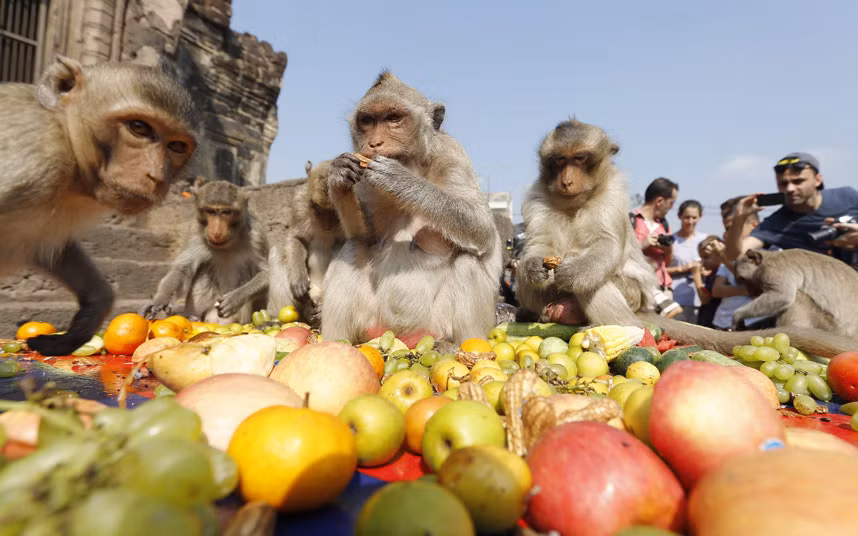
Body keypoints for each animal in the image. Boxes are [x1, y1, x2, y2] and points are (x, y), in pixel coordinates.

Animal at [0, 56, 199, 356]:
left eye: (176, 146)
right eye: (139, 127)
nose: (156, 176)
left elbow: (47, 247)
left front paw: (91, 310)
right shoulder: (35, 160)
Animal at [143, 179, 269, 324]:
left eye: (226, 212)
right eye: (211, 211)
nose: (216, 231)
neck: (229, 242)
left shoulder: (256, 235)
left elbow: (266, 274)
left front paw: (235, 299)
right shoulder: (194, 231)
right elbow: (182, 269)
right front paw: (160, 300)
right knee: (203, 271)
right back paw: (194, 318)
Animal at [267, 159, 345, 325]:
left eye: (334, 211)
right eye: (318, 208)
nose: (327, 225)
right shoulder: (299, 203)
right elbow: (296, 238)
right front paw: (298, 279)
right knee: (277, 251)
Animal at [321, 71, 503, 348]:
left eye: (393, 118)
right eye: (367, 120)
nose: (374, 143)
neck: (414, 164)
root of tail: (404, 337)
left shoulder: (452, 154)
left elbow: (480, 228)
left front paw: (400, 180)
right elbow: (365, 237)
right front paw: (339, 176)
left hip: (436, 324)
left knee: (468, 260)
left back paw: (457, 345)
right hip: (371, 325)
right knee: (353, 247)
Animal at [516, 119, 858, 358]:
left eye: (579, 158)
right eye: (559, 161)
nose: (567, 180)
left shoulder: (614, 193)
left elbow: (607, 245)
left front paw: (573, 272)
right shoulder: (536, 195)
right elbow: (537, 244)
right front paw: (534, 265)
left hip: (634, 298)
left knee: (596, 281)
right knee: (528, 280)